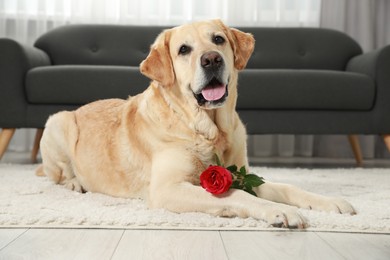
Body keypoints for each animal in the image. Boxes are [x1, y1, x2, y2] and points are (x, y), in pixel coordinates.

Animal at [37, 19, 356, 228]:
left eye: (218, 40)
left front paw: (330, 202)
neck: (205, 128)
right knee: (57, 174)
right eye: (183, 50)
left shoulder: (242, 173)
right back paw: (75, 183)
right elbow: (237, 194)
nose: (212, 59)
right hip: (58, 122)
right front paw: (278, 211)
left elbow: (287, 187)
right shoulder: (168, 189)